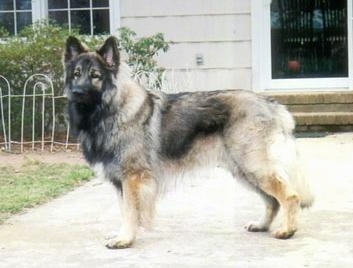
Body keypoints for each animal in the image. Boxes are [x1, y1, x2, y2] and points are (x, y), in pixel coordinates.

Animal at [64, 36, 314, 249]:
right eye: (76, 74)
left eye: (95, 75)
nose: (76, 92)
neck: (110, 110)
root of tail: (270, 103)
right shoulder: (121, 182)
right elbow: (125, 212)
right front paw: (122, 235)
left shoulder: (132, 179)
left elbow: (130, 212)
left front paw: (124, 239)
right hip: (244, 171)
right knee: (272, 201)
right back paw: (262, 225)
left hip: (254, 167)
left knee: (289, 196)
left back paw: (287, 231)